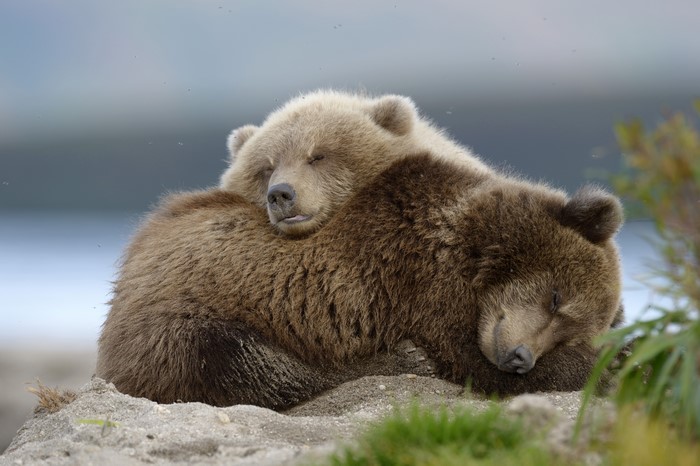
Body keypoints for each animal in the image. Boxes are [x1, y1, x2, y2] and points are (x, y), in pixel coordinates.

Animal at [96, 153, 624, 409]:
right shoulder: (422, 281)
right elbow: (470, 361)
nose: (520, 357)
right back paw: (396, 360)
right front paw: (615, 363)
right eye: (556, 297)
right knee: (237, 361)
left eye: (566, 330)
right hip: (175, 319)